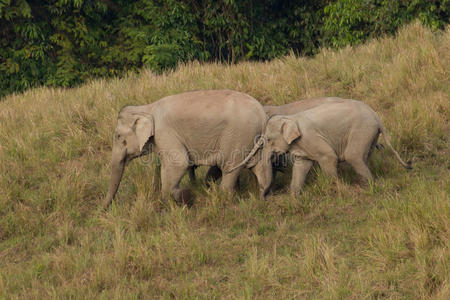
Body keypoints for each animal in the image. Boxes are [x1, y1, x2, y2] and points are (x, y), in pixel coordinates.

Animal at [103, 89, 272, 209]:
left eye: (118, 136)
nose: (103, 210)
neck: (146, 107)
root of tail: (262, 114)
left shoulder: (164, 132)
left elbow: (179, 163)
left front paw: (179, 199)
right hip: (253, 139)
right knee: (260, 168)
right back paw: (262, 199)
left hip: (238, 136)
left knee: (230, 168)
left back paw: (224, 200)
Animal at [232, 98, 412, 196]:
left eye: (268, 140)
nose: (263, 196)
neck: (291, 118)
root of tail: (377, 117)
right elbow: (301, 166)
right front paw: (294, 196)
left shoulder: (311, 137)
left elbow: (329, 157)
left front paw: (335, 188)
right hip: (370, 135)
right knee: (363, 157)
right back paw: (366, 184)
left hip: (362, 130)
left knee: (353, 157)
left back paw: (369, 186)